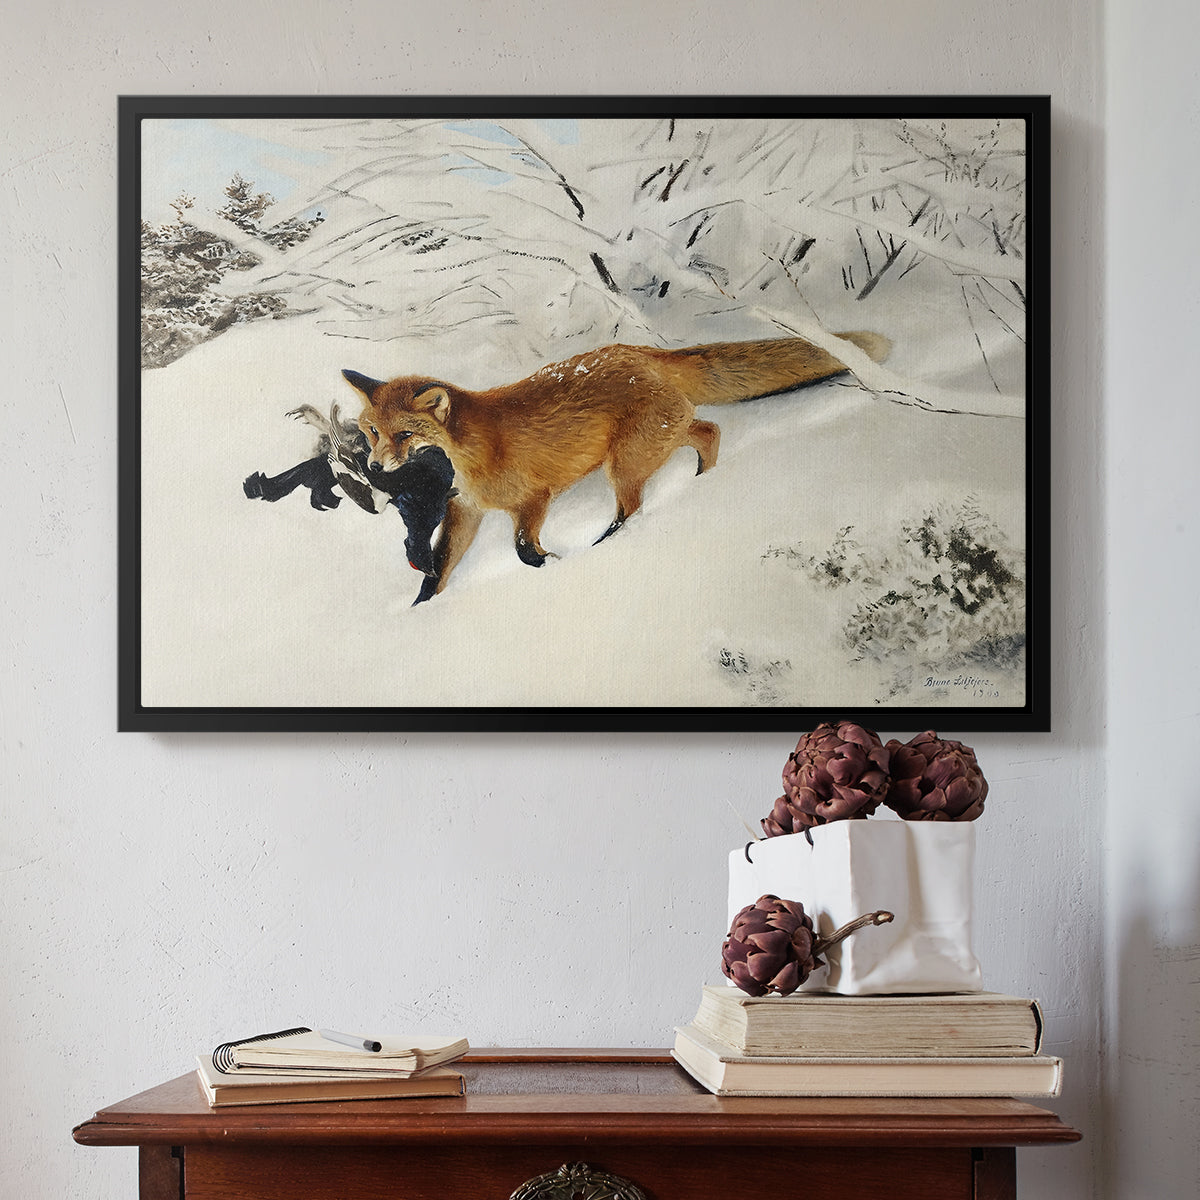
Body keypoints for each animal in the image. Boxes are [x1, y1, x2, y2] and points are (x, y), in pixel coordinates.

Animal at [343, 331, 890, 602]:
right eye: (372, 431)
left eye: (404, 435)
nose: (375, 465)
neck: (472, 453)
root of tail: (641, 352)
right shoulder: (466, 511)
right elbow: (438, 569)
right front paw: (421, 610)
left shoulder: (533, 498)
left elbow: (523, 550)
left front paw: (553, 564)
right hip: (655, 442)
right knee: (709, 430)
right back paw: (702, 481)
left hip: (624, 464)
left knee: (634, 507)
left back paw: (610, 543)